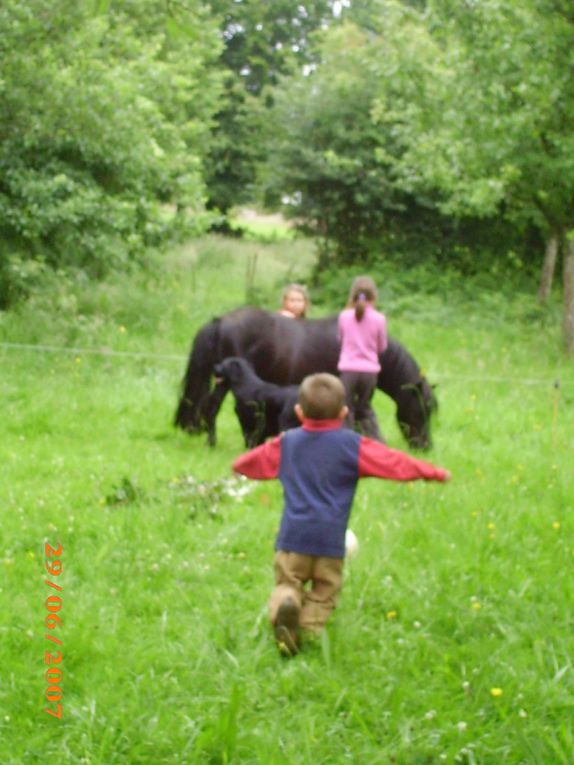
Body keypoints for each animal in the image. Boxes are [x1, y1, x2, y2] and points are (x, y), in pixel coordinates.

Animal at [173, 304, 438, 448]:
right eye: (422, 408)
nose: (425, 446)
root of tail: (220, 321)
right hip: (223, 383)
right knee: (211, 408)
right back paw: (212, 443)